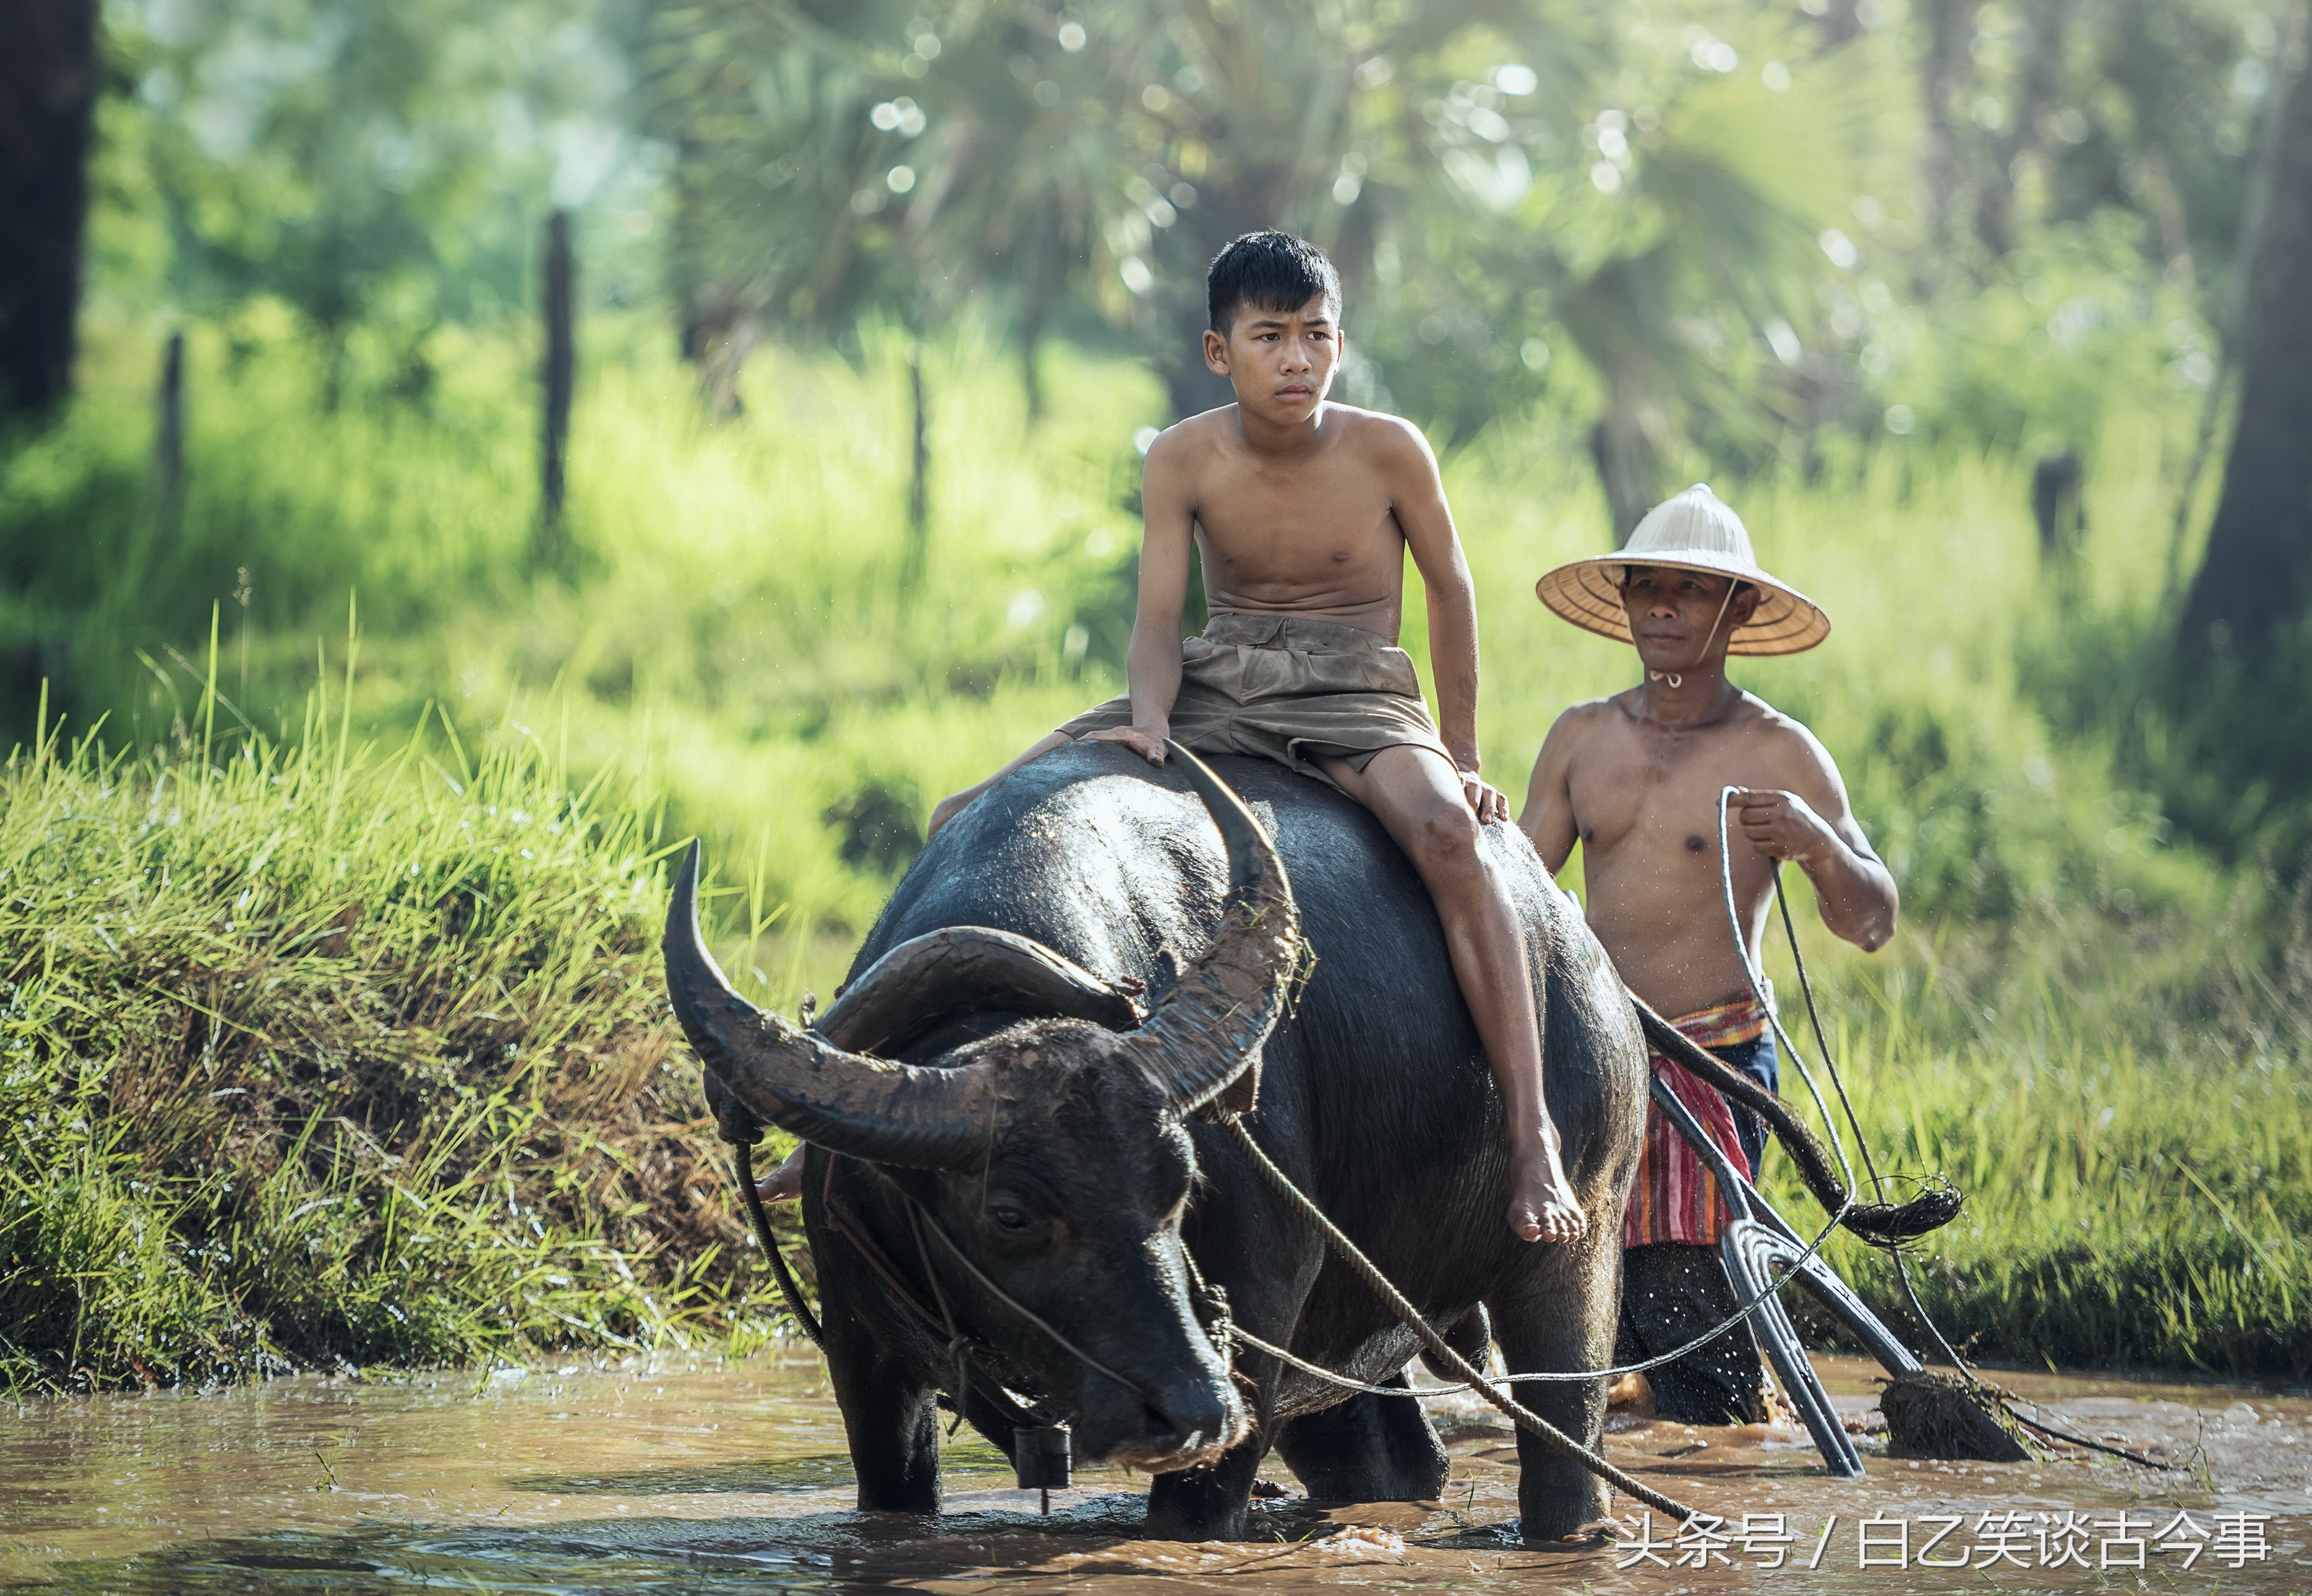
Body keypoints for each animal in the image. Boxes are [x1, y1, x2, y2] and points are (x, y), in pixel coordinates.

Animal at [661, 740, 1655, 1536]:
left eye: (1179, 1185)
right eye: (1010, 1213)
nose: (1191, 1409)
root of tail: (1585, 953)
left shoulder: (1256, 1323)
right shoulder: (864, 1357)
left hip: (1579, 1242)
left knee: (1565, 1436)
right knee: (1390, 1458)